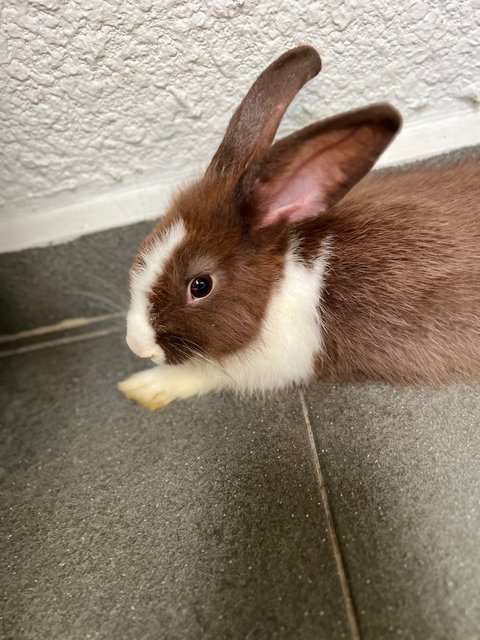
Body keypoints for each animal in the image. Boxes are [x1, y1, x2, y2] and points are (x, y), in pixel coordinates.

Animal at [117, 45, 480, 410]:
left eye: (201, 285)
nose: (136, 345)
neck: (278, 286)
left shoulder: (275, 364)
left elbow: (202, 373)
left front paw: (142, 387)